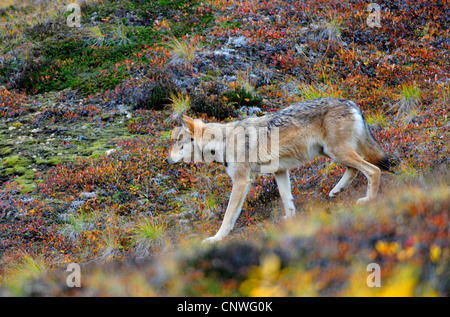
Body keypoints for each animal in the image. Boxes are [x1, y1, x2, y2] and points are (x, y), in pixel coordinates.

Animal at [167, 96, 388, 242]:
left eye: (178, 143)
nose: (167, 160)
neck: (222, 141)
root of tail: (350, 102)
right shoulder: (280, 171)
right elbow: (287, 201)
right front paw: (289, 222)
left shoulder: (241, 181)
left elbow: (228, 216)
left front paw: (216, 238)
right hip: (330, 153)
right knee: (354, 170)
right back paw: (337, 191)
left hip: (336, 152)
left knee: (373, 170)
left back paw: (369, 199)